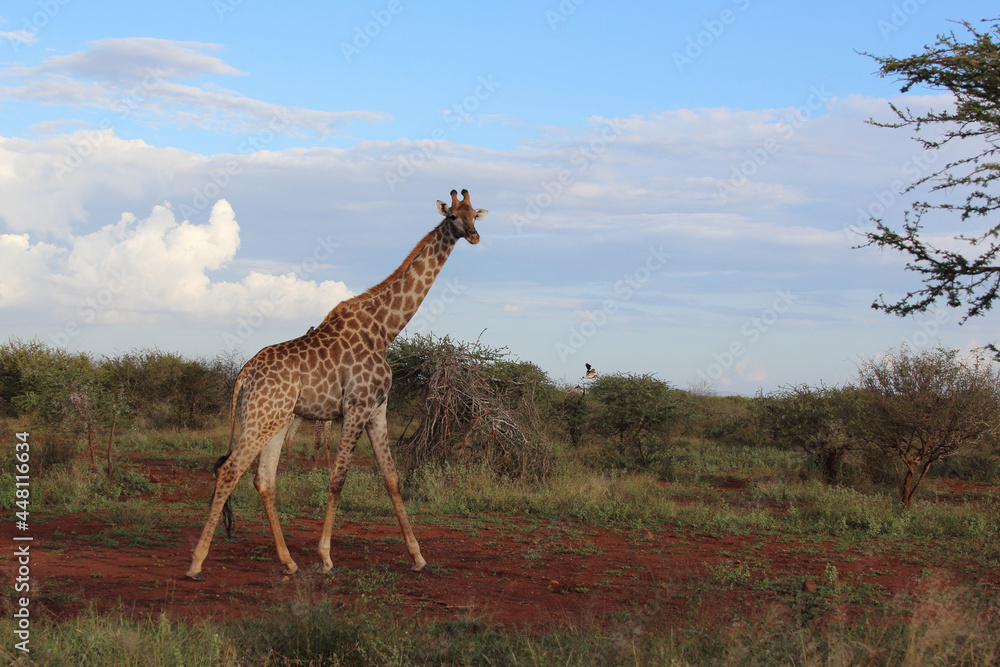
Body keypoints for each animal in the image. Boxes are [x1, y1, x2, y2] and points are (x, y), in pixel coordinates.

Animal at [185, 189, 487, 581]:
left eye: (474, 215)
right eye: (452, 216)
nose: (474, 236)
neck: (385, 330)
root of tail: (245, 374)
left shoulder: (377, 409)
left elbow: (391, 478)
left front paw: (419, 557)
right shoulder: (356, 407)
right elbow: (338, 477)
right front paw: (326, 557)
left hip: (275, 419)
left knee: (264, 479)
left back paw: (289, 562)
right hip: (261, 418)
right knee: (229, 470)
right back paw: (197, 563)